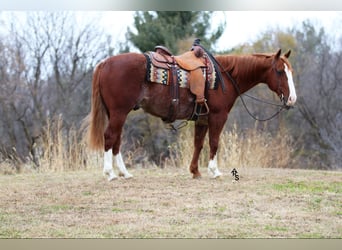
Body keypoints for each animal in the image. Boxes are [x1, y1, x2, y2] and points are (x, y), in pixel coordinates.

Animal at [83, 47, 296, 180]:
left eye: (290, 71)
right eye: (279, 71)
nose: (292, 98)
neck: (225, 77)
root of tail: (105, 63)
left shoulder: (202, 119)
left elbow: (198, 144)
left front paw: (195, 171)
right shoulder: (218, 116)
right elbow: (214, 142)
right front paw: (214, 171)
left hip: (115, 113)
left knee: (116, 140)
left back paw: (124, 173)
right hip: (119, 112)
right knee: (110, 137)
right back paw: (110, 174)